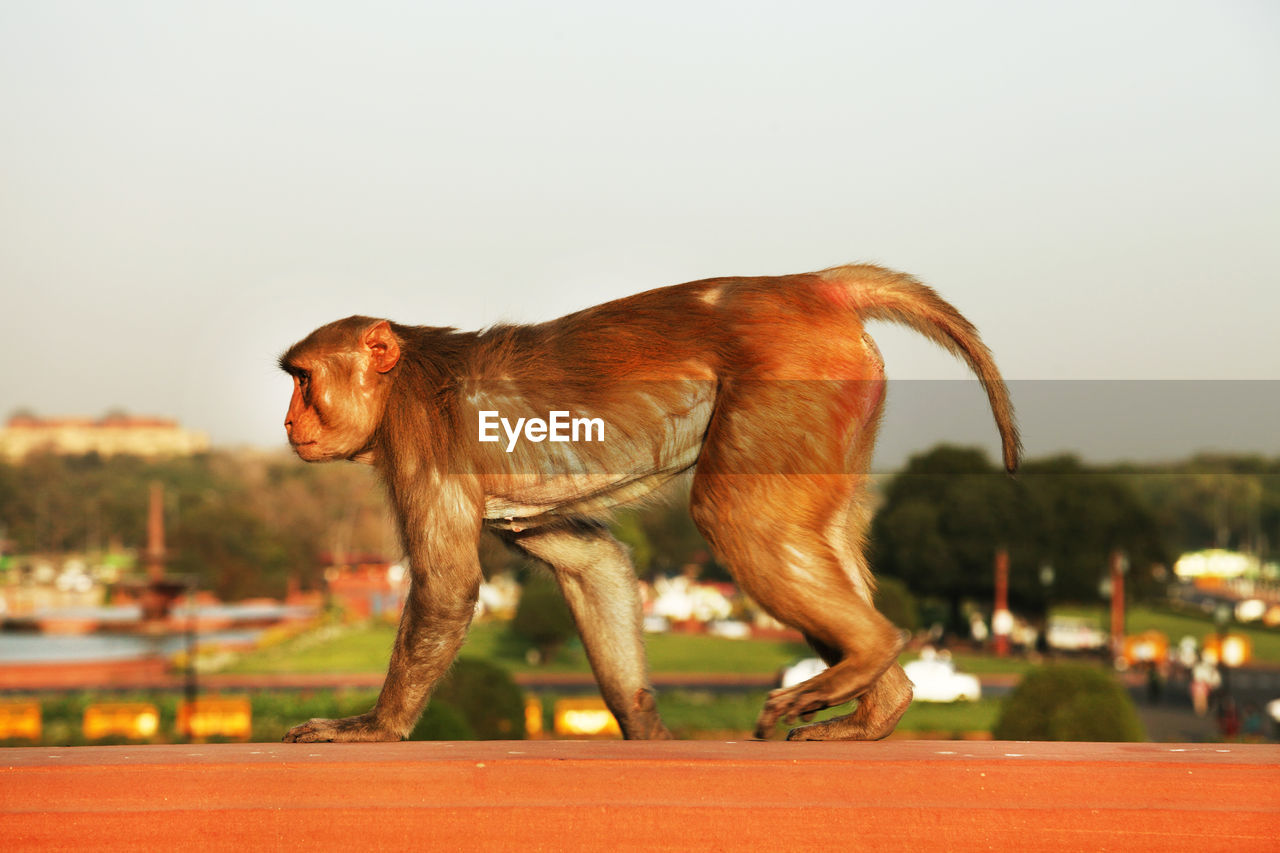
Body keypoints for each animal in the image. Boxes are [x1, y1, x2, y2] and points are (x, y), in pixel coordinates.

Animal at [280, 261, 1018, 737]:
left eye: (304, 380)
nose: (289, 422)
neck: (402, 376)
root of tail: (811, 285)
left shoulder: (419, 437)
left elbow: (448, 585)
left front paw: (376, 726)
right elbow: (593, 565)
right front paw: (644, 726)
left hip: (792, 377)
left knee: (734, 515)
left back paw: (869, 652)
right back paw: (878, 706)